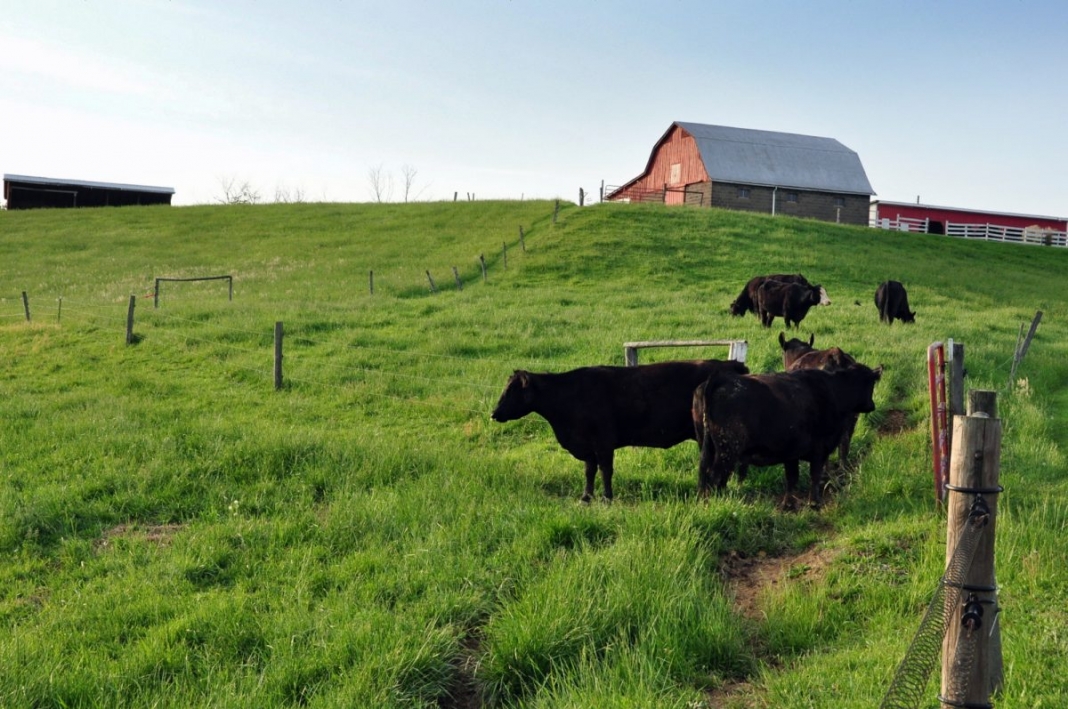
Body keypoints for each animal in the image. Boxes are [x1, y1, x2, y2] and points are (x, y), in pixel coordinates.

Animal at [493, 356, 751, 501]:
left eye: (512, 391)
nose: (493, 413)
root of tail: (730, 364)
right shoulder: (588, 447)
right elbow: (589, 471)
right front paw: (586, 496)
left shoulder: (603, 443)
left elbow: (605, 471)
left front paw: (607, 497)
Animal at [692, 363, 884, 506]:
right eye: (871, 384)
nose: (872, 405)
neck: (832, 391)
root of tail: (720, 379)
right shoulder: (819, 450)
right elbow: (814, 476)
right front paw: (814, 503)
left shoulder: (792, 453)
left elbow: (792, 478)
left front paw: (788, 504)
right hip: (727, 451)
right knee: (715, 477)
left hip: (709, 448)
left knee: (710, 478)